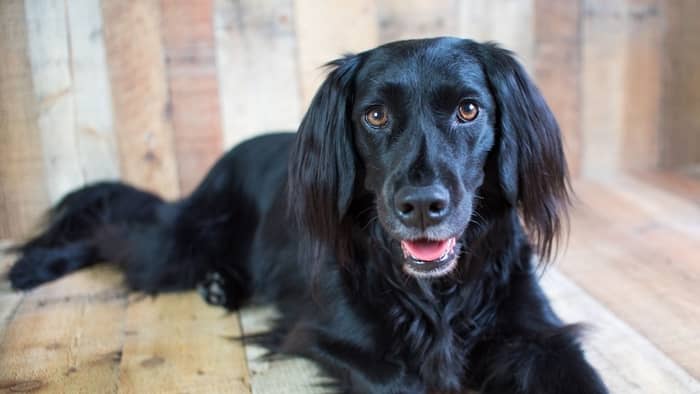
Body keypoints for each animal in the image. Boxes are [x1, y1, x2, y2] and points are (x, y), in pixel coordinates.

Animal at [8, 37, 608, 394]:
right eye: (375, 115)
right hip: (179, 245)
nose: (420, 206)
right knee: (116, 229)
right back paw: (32, 266)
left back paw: (221, 285)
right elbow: (405, 382)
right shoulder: (324, 333)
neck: (437, 292)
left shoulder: (540, 335)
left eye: (468, 110)